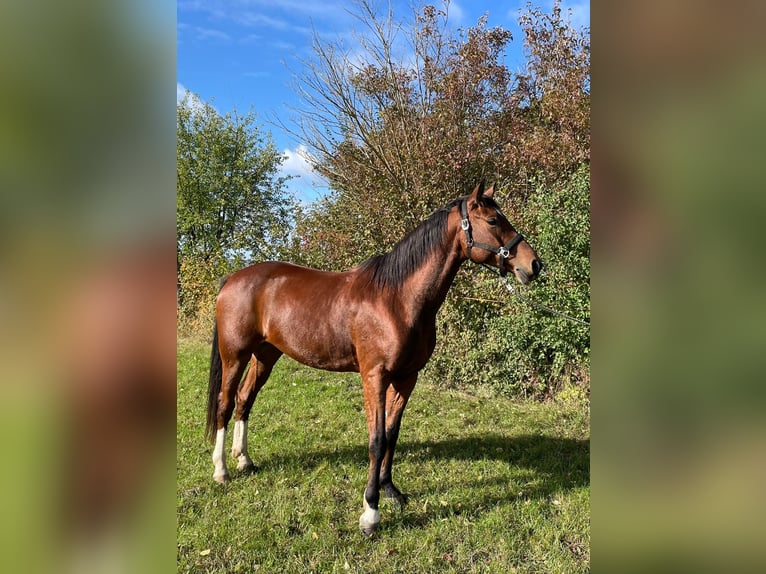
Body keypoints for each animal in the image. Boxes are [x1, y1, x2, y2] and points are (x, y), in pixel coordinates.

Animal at [204, 182, 540, 536]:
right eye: (492, 220)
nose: (534, 265)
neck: (396, 299)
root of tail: (232, 279)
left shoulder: (406, 377)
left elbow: (392, 433)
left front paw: (390, 491)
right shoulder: (374, 376)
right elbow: (376, 439)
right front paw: (370, 512)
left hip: (265, 356)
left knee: (244, 400)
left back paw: (244, 460)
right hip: (235, 355)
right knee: (225, 402)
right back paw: (221, 470)